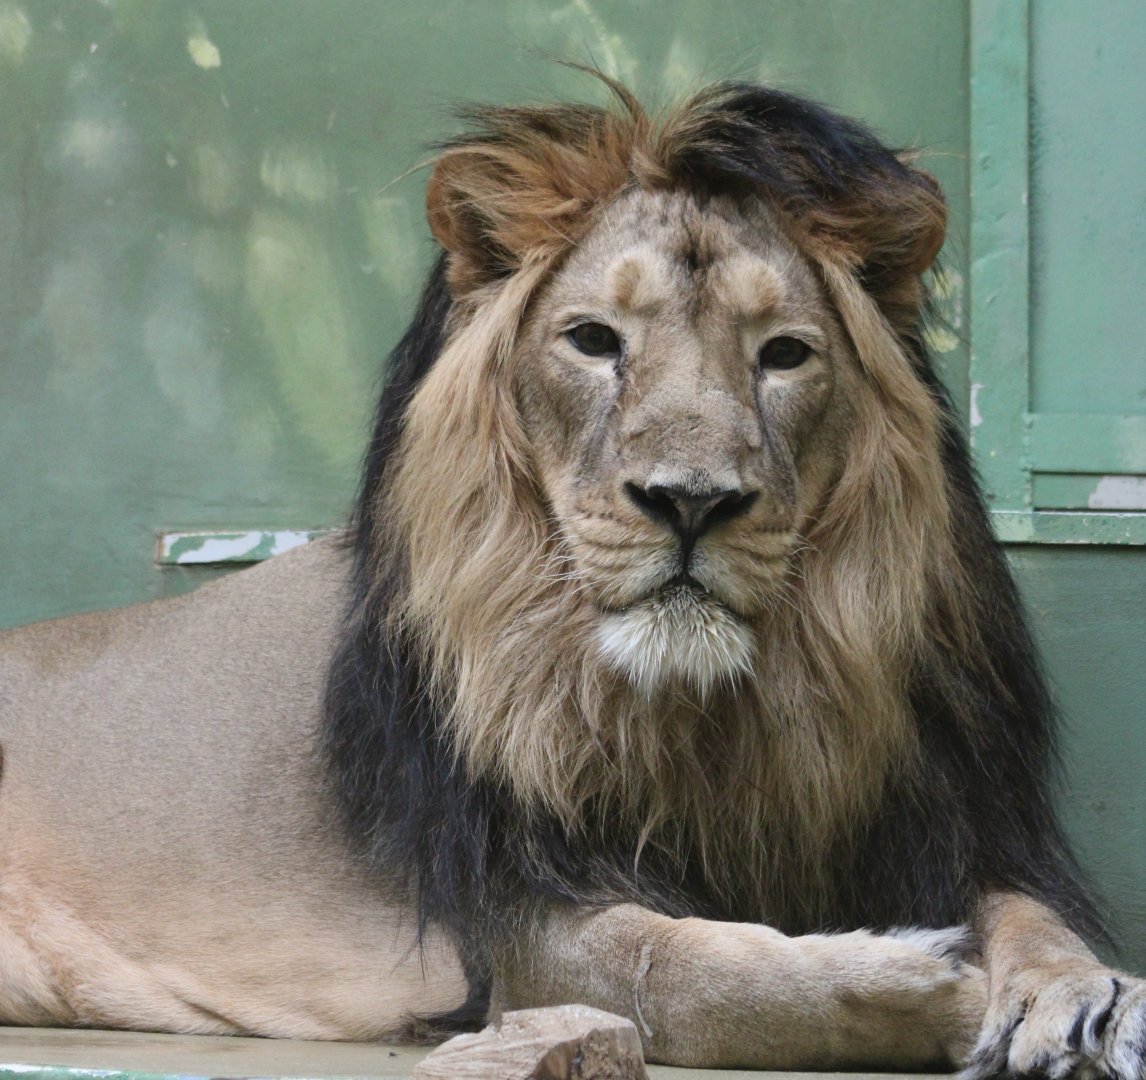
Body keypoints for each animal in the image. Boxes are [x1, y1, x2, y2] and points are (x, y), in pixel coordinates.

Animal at [0, 76, 1143, 1077]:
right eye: (594, 341)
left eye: (784, 355)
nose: (691, 501)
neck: (727, 715)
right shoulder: (502, 920)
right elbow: (675, 970)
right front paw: (920, 982)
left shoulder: (942, 821)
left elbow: (1030, 911)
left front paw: (1087, 993)